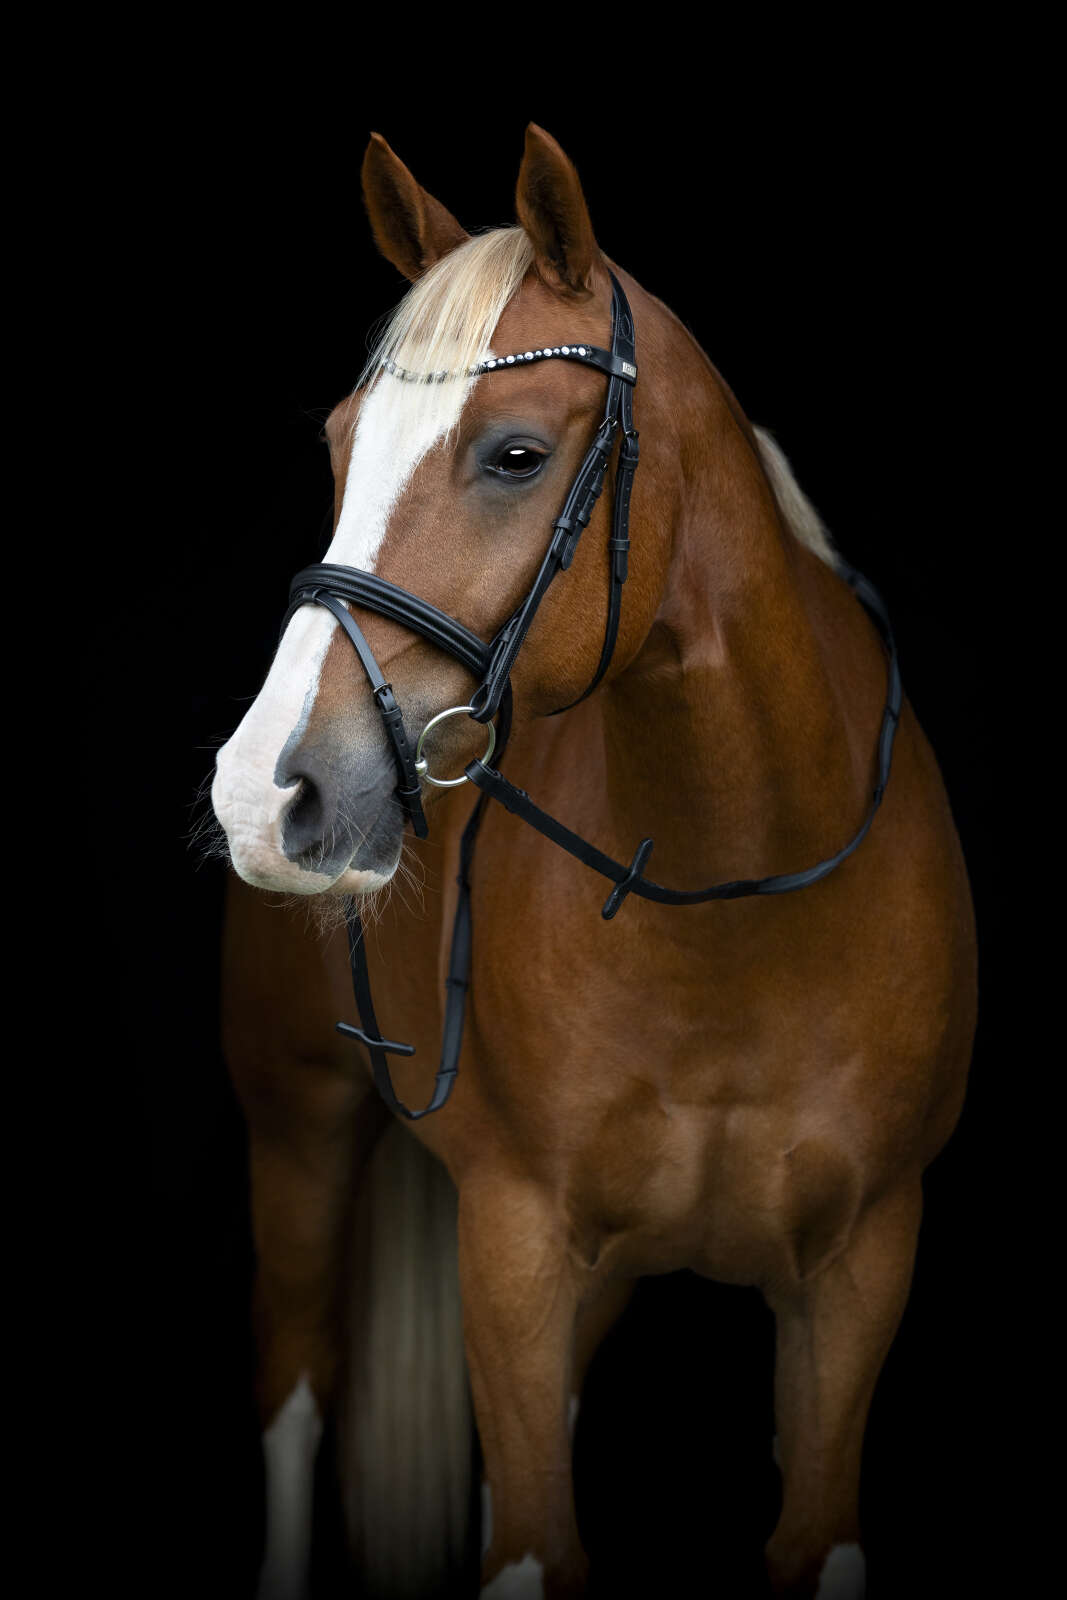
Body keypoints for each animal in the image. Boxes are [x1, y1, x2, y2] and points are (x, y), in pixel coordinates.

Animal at [210, 124, 977, 1599]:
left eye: (513, 453)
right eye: (338, 447)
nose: (264, 788)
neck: (736, 913)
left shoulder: (861, 1269)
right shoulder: (512, 1245)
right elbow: (522, 1538)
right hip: (300, 1127)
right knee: (291, 1395)